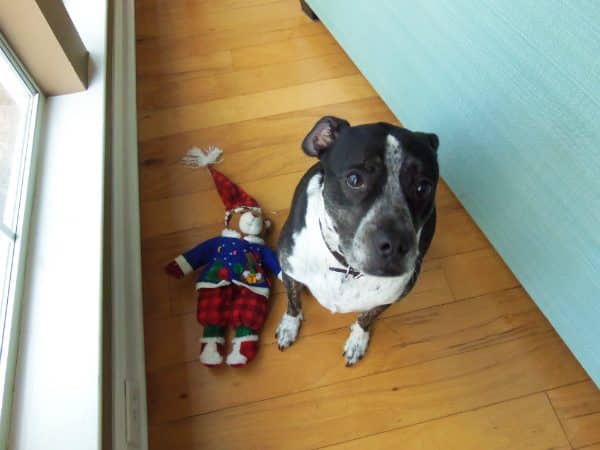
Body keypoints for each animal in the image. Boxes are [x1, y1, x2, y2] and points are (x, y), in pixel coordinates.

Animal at [276, 116, 440, 366]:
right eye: (354, 179)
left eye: (423, 187)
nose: (395, 245)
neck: (345, 268)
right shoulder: (291, 269)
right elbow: (292, 302)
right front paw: (289, 326)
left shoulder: (388, 298)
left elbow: (366, 317)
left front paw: (357, 341)